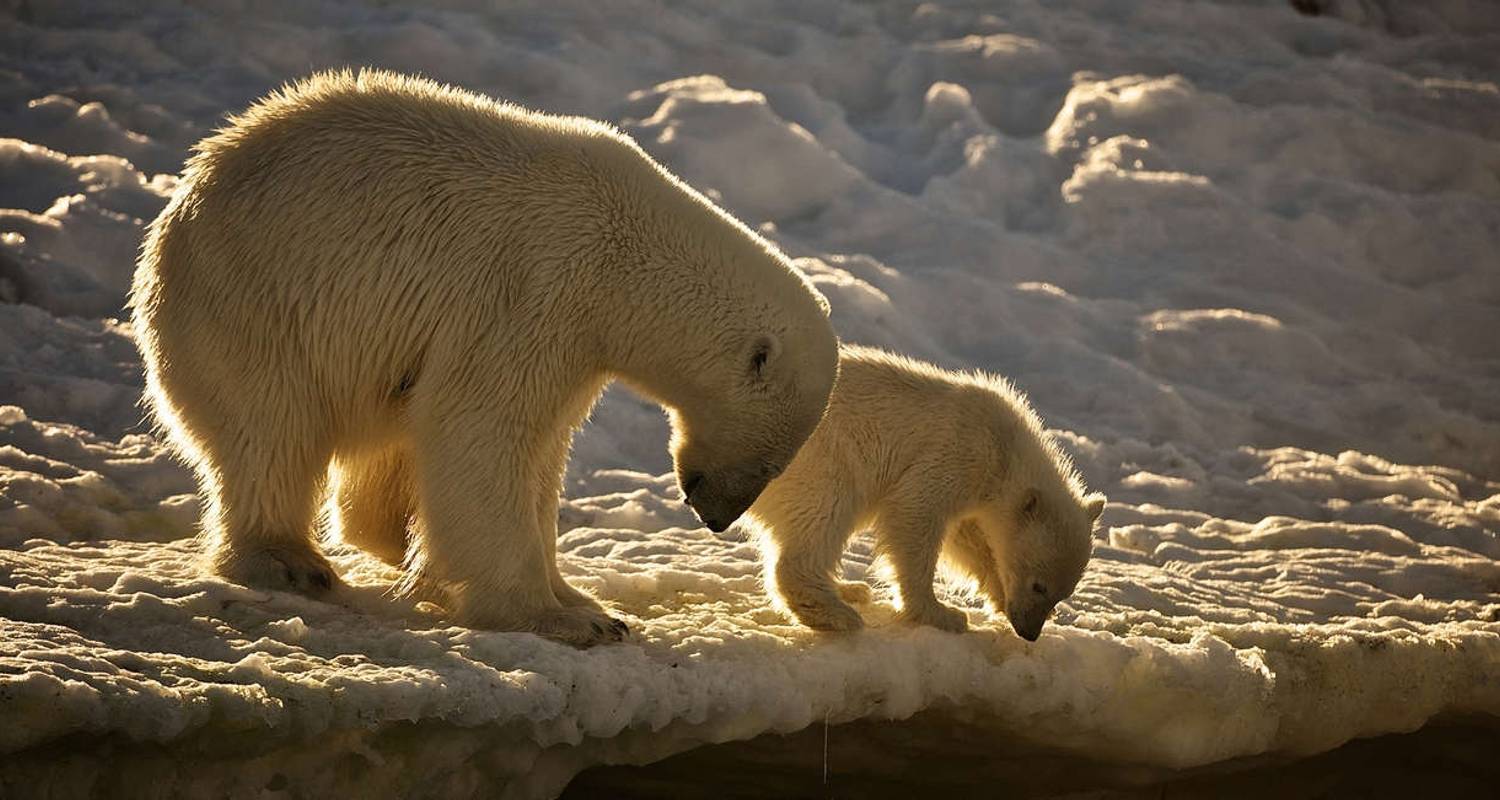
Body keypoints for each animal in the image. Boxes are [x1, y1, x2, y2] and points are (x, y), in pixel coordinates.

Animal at [133, 67, 840, 642]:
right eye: (773, 463)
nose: (716, 517)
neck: (629, 252)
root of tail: (189, 192)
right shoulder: (537, 290)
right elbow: (484, 428)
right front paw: (566, 618)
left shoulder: (579, 341)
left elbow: (540, 448)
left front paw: (580, 598)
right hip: (255, 302)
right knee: (272, 431)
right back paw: (290, 561)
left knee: (383, 436)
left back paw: (396, 539)